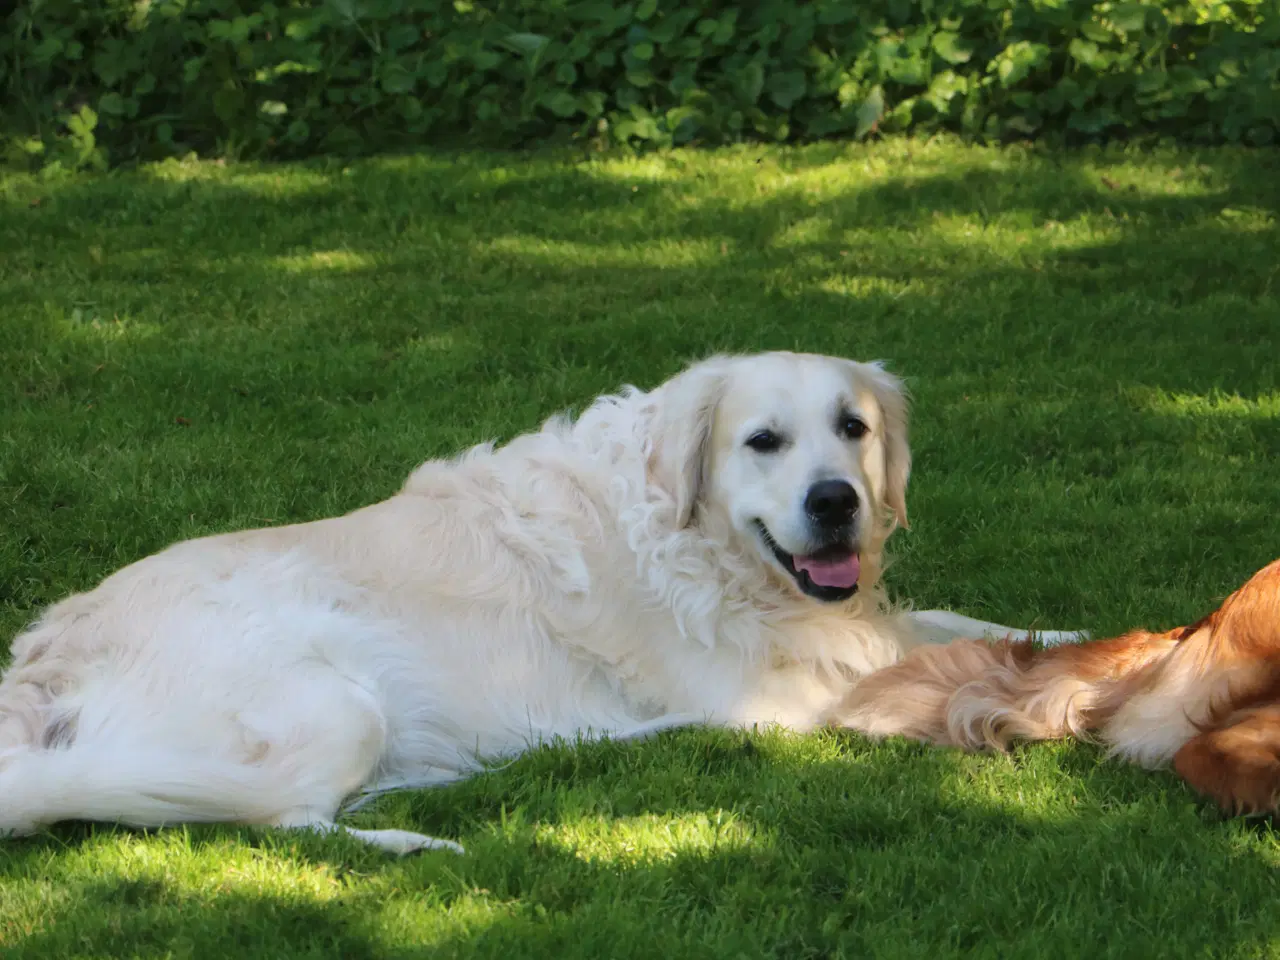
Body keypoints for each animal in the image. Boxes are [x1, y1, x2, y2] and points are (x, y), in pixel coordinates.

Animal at [0, 350, 1080, 855]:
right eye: (763, 441)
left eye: (851, 428)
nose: (835, 503)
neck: (693, 535)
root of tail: (43, 660)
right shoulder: (776, 688)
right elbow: (920, 664)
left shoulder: (848, 617)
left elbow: (965, 626)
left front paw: (1077, 640)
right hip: (336, 700)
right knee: (277, 817)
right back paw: (417, 835)